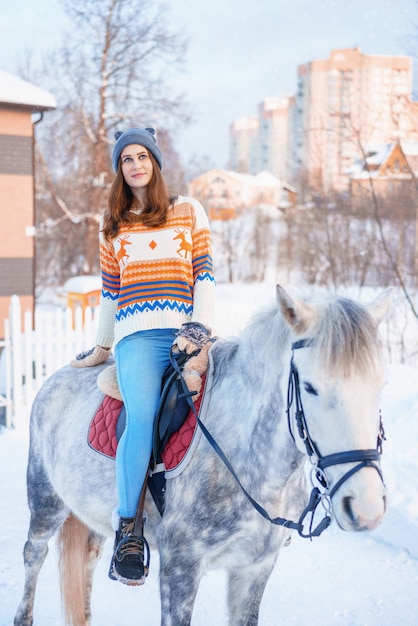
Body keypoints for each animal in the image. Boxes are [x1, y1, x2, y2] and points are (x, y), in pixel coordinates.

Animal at [13, 286, 392, 620]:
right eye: (311, 387)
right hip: (45, 500)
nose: (366, 507)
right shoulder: (180, 567)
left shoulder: (254, 569)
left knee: (86, 565)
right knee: (34, 554)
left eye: (380, 384)